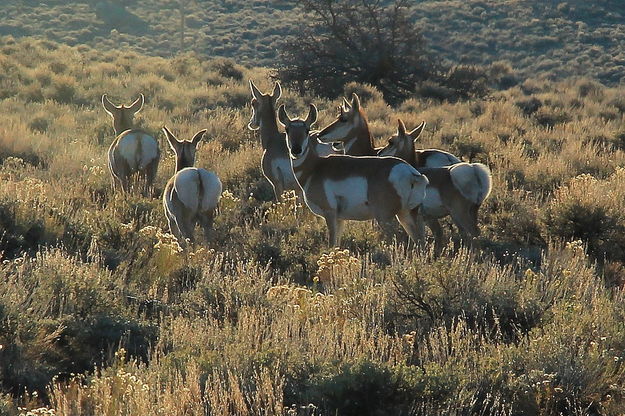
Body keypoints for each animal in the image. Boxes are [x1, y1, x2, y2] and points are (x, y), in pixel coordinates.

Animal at [278, 103, 428, 247]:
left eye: (307, 130)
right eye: (287, 129)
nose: (296, 150)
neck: (316, 167)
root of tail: (410, 173)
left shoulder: (330, 214)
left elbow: (331, 244)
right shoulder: (340, 219)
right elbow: (337, 245)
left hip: (385, 218)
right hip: (408, 215)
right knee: (420, 242)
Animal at [378, 119, 490, 250]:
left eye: (390, 141)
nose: (379, 153)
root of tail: (474, 170)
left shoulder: (421, 218)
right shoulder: (427, 218)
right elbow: (430, 236)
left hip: (460, 214)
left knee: (473, 232)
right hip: (468, 213)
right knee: (468, 233)